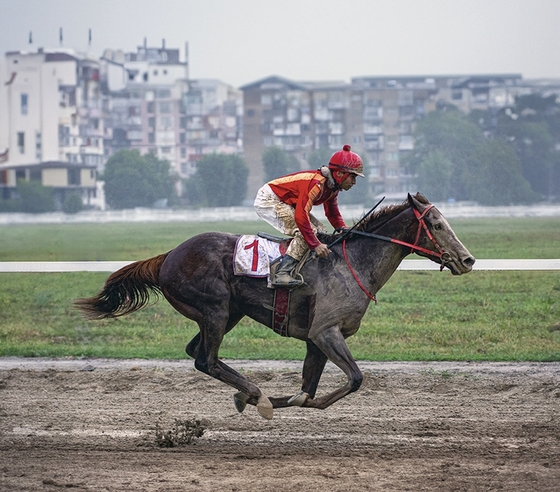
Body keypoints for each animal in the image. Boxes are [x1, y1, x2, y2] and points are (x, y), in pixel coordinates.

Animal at [74, 192, 474, 418]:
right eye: (437, 224)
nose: (467, 260)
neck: (352, 263)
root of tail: (168, 256)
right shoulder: (325, 332)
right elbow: (354, 379)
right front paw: (263, 400)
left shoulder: (317, 340)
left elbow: (309, 391)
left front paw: (287, 400)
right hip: (217, 309)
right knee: (206, 360)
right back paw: (254, 393)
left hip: (227, 313)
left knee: (196, 352)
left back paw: (249, 393)